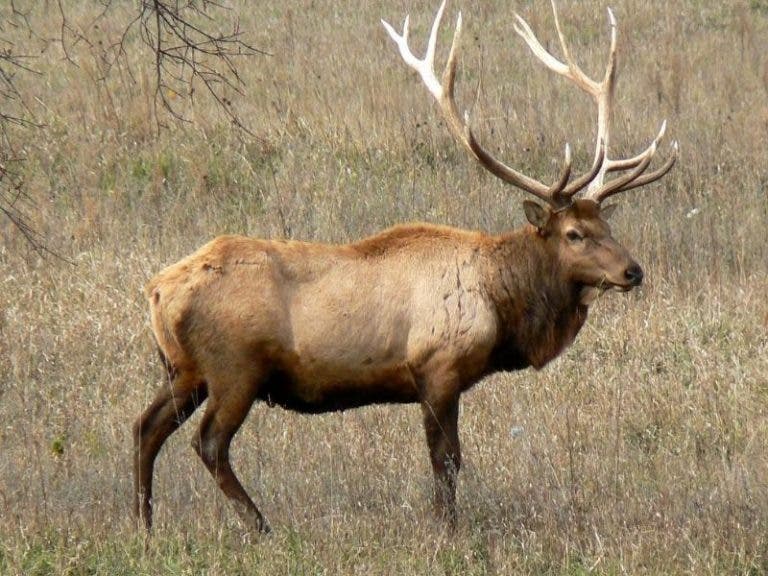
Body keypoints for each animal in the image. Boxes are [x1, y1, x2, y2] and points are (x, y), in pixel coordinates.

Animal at [134, 0, 680, 532]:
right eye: (574, 234)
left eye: (607, 224)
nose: (633, 271)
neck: (502, 305)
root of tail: (157, 290)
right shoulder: (437, 367)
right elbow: (447, 459)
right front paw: (447, 529)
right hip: (235, 367)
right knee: (208, 442)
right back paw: (259, 525)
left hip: (185, 369)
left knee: (145, 427)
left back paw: (145, 523)